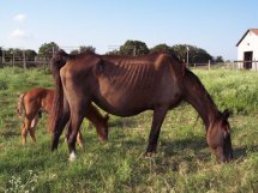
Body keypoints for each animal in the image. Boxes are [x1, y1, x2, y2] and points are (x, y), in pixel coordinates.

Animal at [50, 50, 234, 162]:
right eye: (226, 134)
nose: (229, 159)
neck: (177, 75)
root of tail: (70, 58)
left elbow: (156, 134)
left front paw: (151, 154)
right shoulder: (161, 108)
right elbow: (153, 134)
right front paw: (148, 155)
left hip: (68, 105)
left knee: (58, 127)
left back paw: (53, 152)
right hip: (79, 106)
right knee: (70, 133)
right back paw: (73, 157)